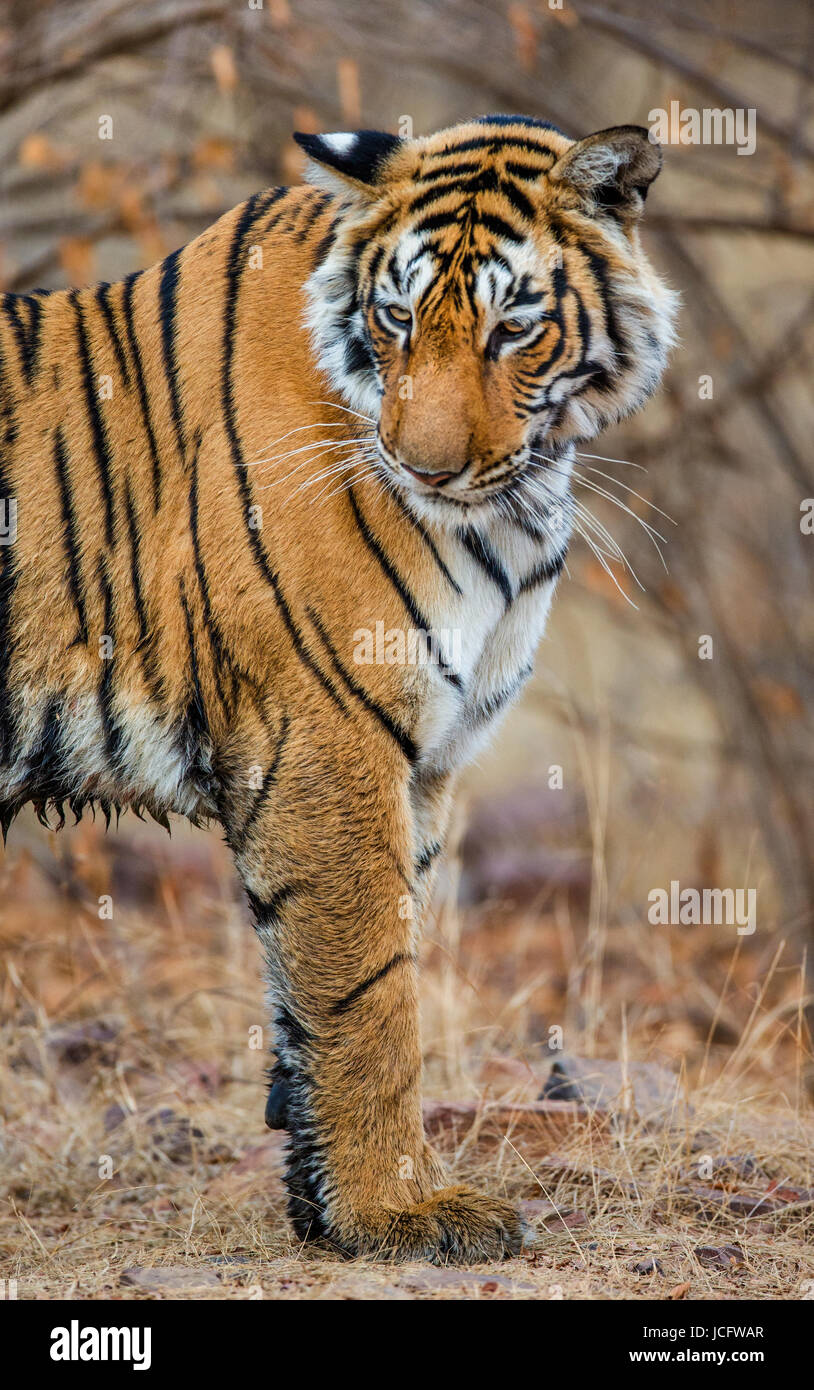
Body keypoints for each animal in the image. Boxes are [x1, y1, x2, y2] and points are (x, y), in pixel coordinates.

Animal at [0, 116, 672, 1262]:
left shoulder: (429, 757)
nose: (424, 468)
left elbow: (333, 984)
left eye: (513, 330)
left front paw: (322, 1197)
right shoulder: (327, 732)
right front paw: (395, 1209)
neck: (518, 507)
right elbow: (369, 990)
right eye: (397, 318)